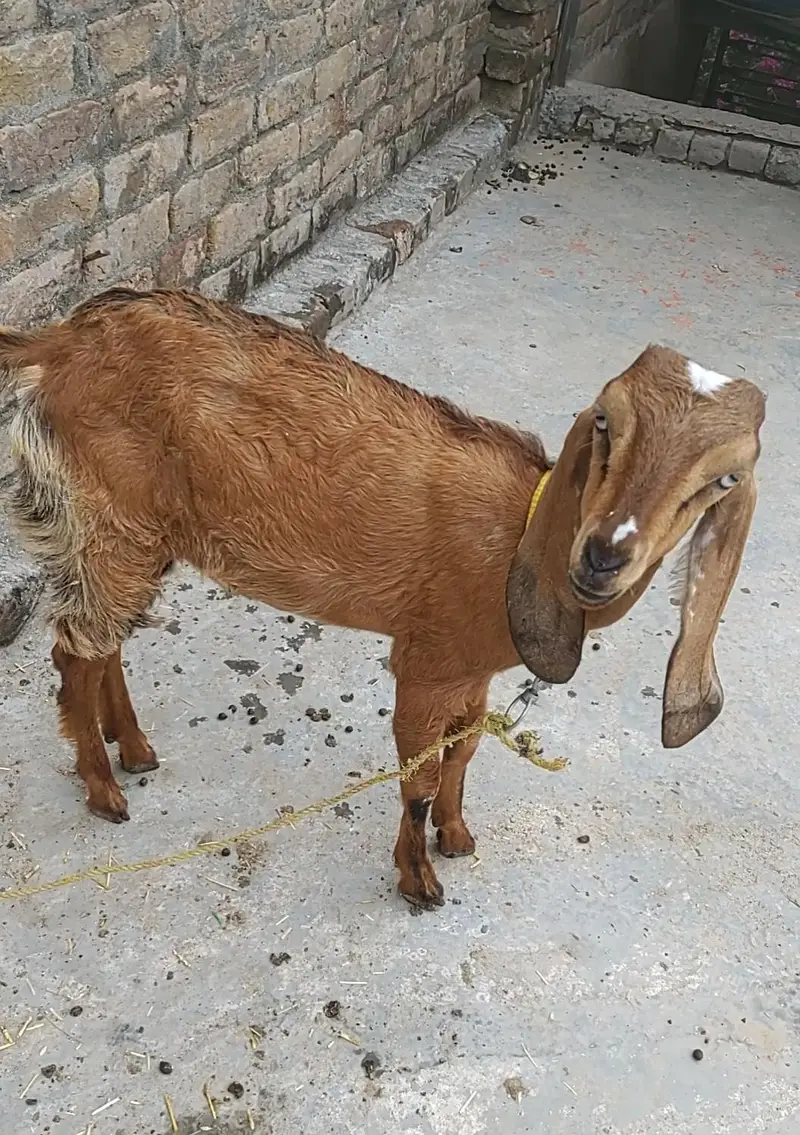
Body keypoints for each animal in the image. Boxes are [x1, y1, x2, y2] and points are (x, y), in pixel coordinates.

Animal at [0, 289, 765, 909]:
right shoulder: (426, 663)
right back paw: (104, 790)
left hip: (141, 533)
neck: (518, 535)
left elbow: (464, 752)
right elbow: (418, 776)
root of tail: (57, 341)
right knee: (74, 649)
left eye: (725, 479)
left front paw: (457, 836)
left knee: (106, 639)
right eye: (604, 422)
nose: (603, 555)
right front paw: (417, 879)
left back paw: (133, 748)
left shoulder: (471, 671)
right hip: (113, 517)